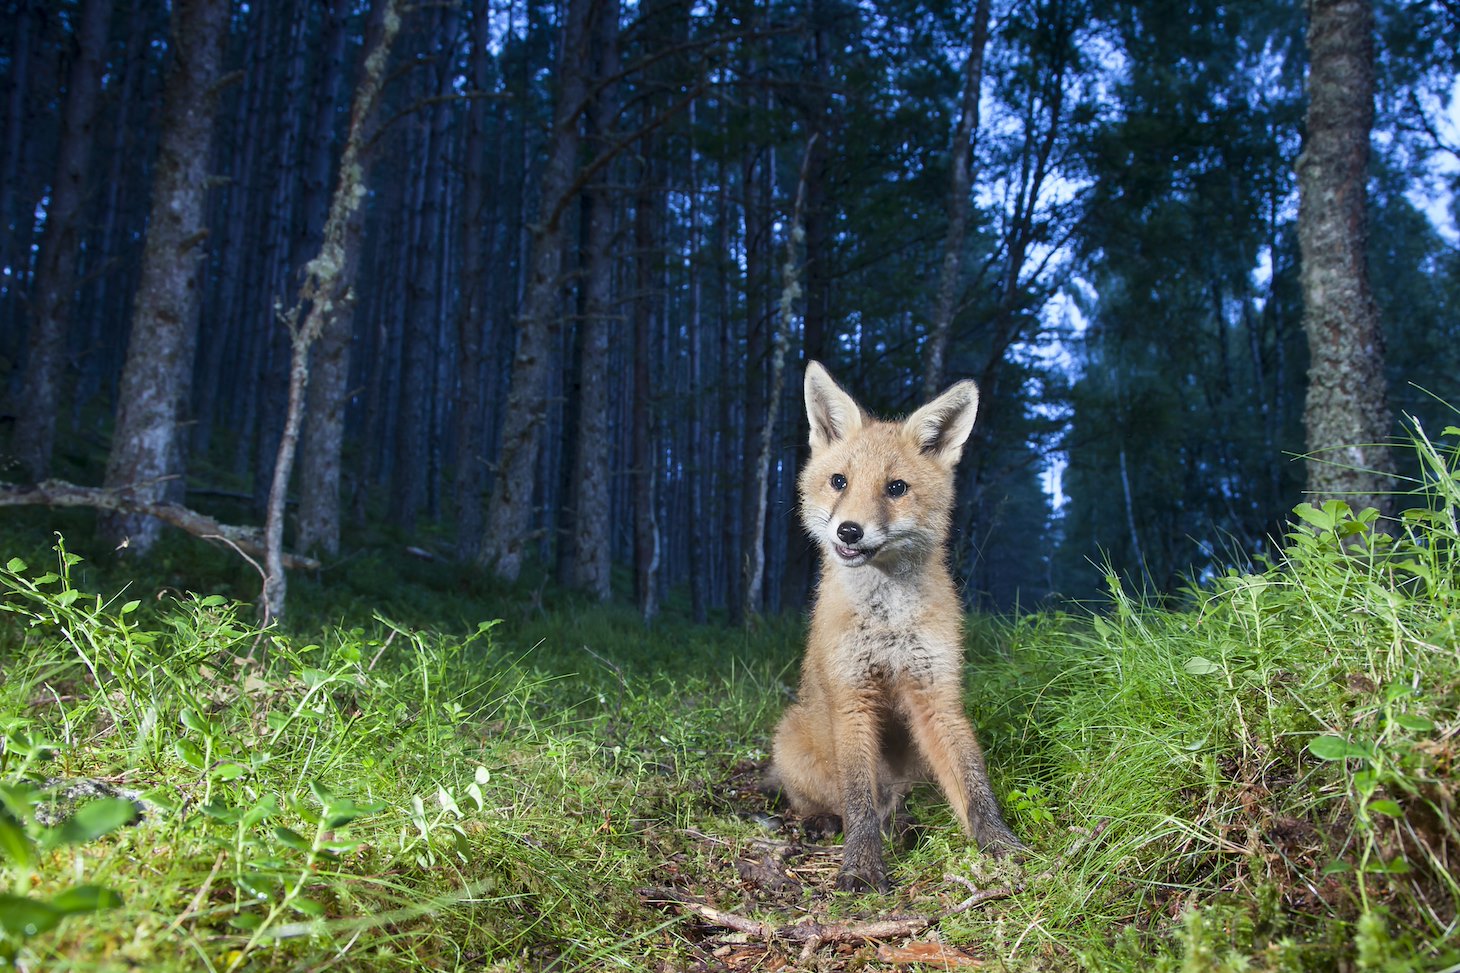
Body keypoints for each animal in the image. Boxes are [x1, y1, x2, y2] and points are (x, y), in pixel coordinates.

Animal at [767, 360, 1024, 892]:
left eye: (896, 488)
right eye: (839, 481)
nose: (849, 530)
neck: (886, 622)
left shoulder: (937, 695)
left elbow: (974, 785)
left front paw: (998, 843)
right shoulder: (852, 698)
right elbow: (859, 802)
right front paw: (862, 865)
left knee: (899, 804)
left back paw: (903, 823)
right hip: (791, 737)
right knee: (825, 800)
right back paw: (820, 821)